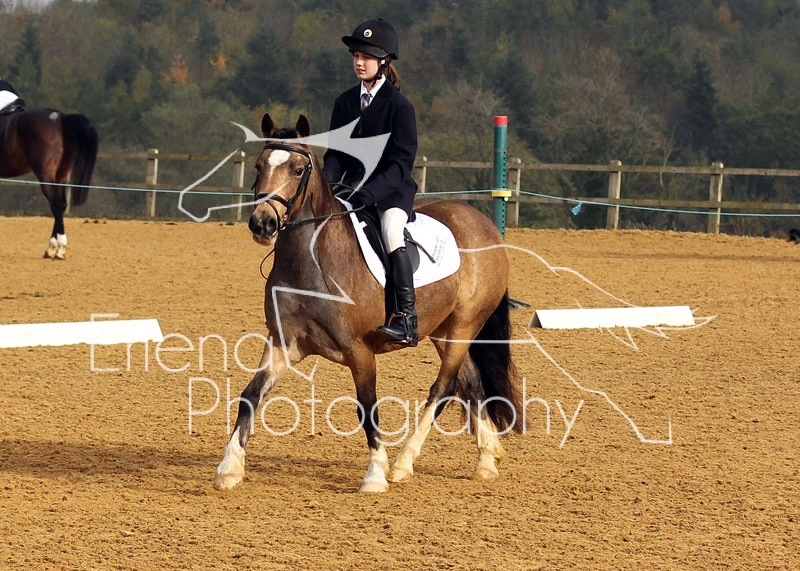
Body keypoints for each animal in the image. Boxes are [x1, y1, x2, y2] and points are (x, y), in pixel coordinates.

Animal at [0, 108, 99, 259]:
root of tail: (61, 118)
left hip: (46, 175)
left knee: (56, 205)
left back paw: (57, 248)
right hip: (60, 176)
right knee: (61, 205)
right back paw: (53, 249)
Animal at [214, 114, 524, 493]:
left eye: (299, 170)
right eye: (259, 165)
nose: (263, 224)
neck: (311, 262)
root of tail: (485, 225)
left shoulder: (359, 352)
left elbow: (367, 407)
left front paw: (375, 474)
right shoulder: (283, 345)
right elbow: (250, 395)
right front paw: (229, 468)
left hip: (466, 323)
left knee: (444, 387)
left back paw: (403, 463)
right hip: (444, 330)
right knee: (472, 383)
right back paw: (487, 460)